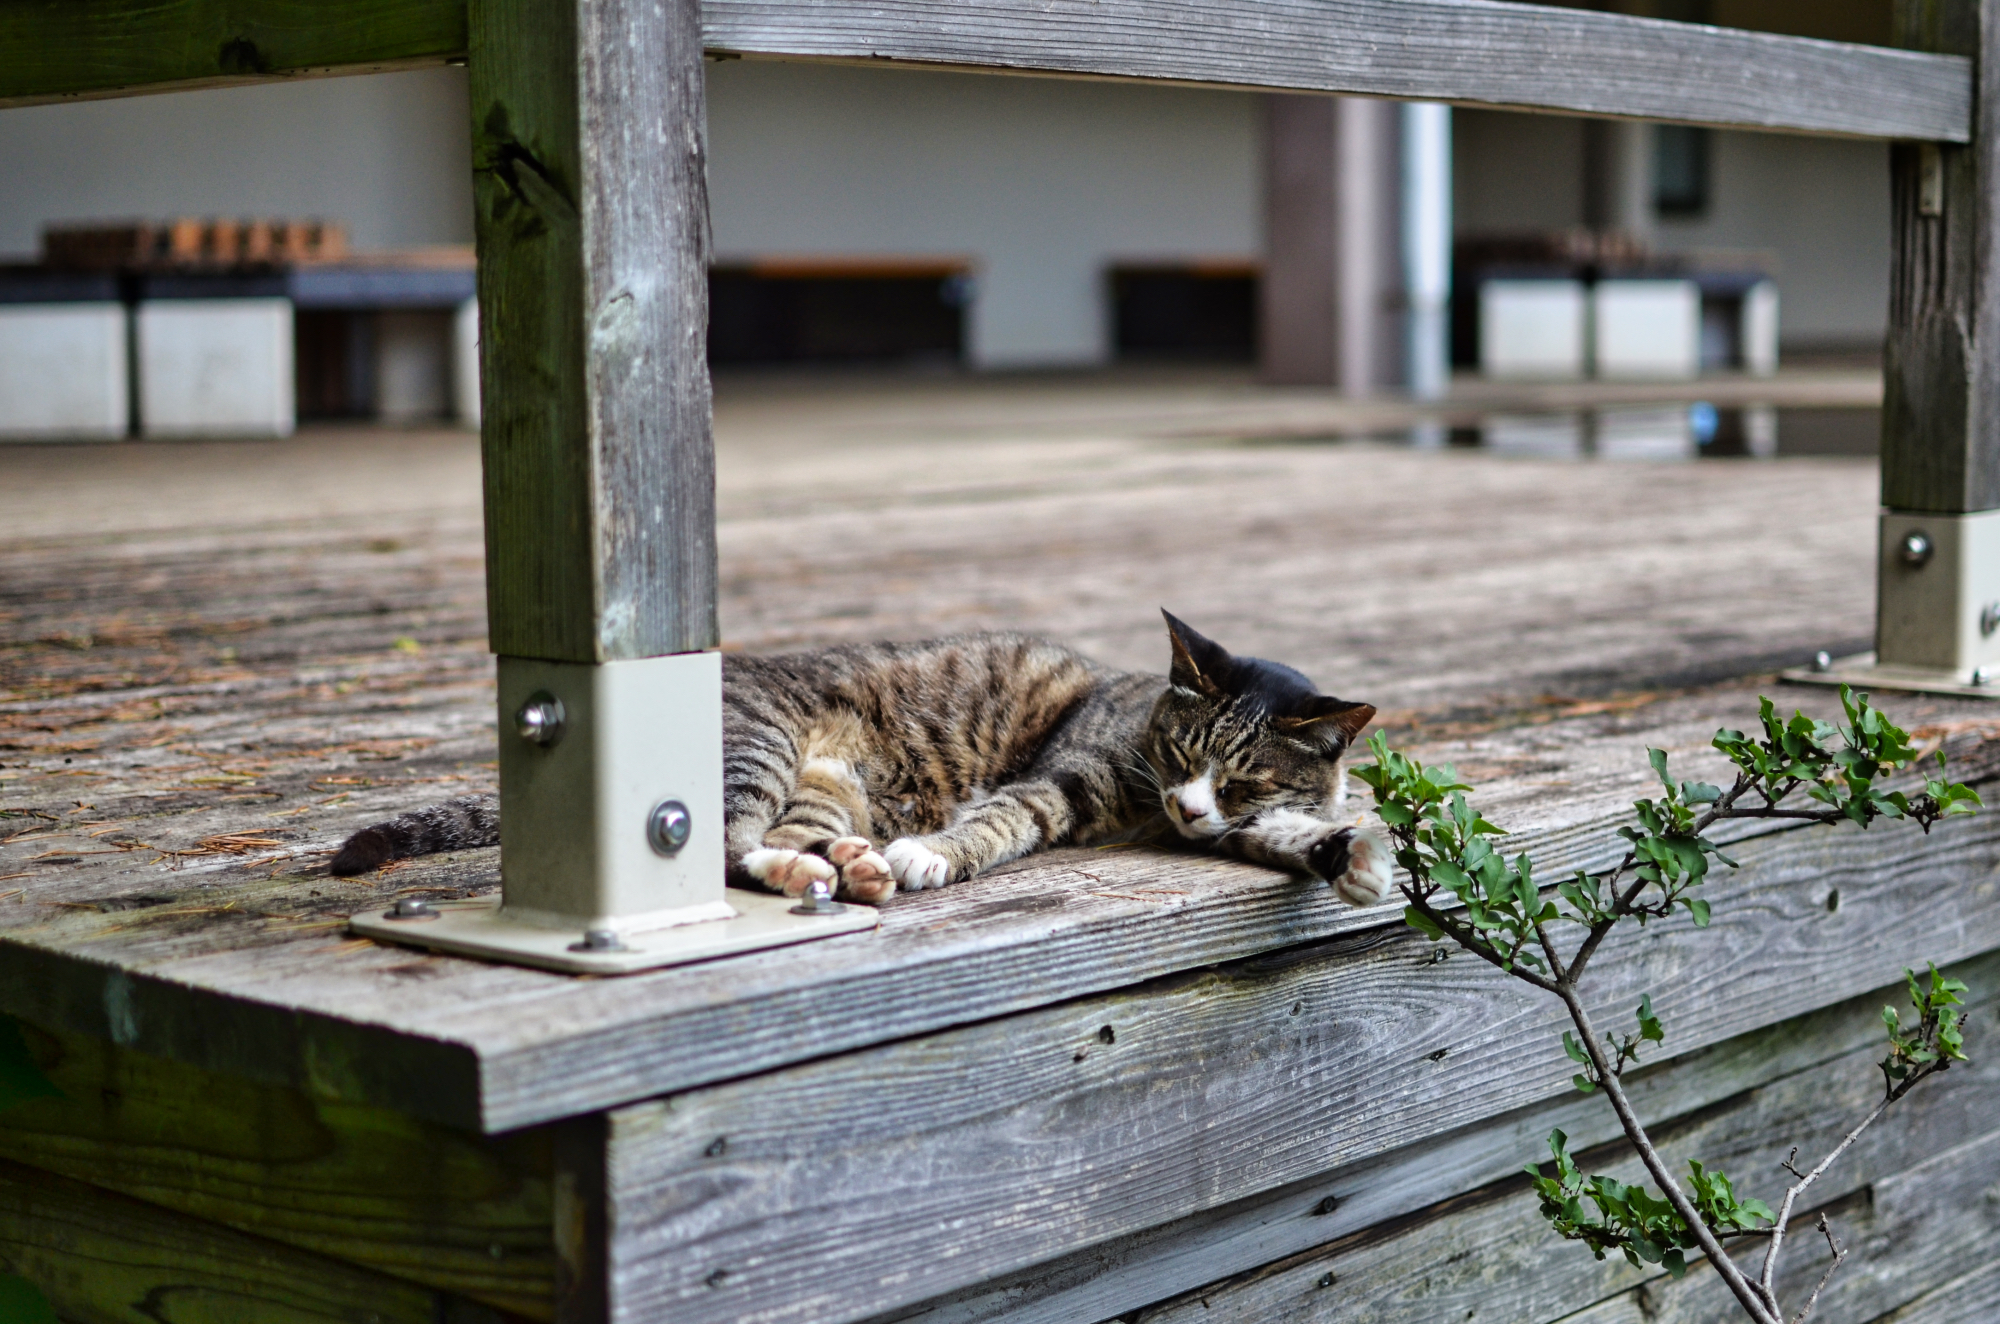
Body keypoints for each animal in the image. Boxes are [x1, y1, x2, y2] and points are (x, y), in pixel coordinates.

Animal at [328, 616, 1392, 908]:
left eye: (1245, 778)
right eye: (1177, 748)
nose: (1191, 808)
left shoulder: (1225, 825)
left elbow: (1285, 838)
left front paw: (1351, 855)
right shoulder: (1068, 773)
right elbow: (1001, 818)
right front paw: (933, 856)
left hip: (827, 793)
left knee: (780, 845)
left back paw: (846, 867)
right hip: (754, 752)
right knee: (720, 844)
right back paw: (850, 867)